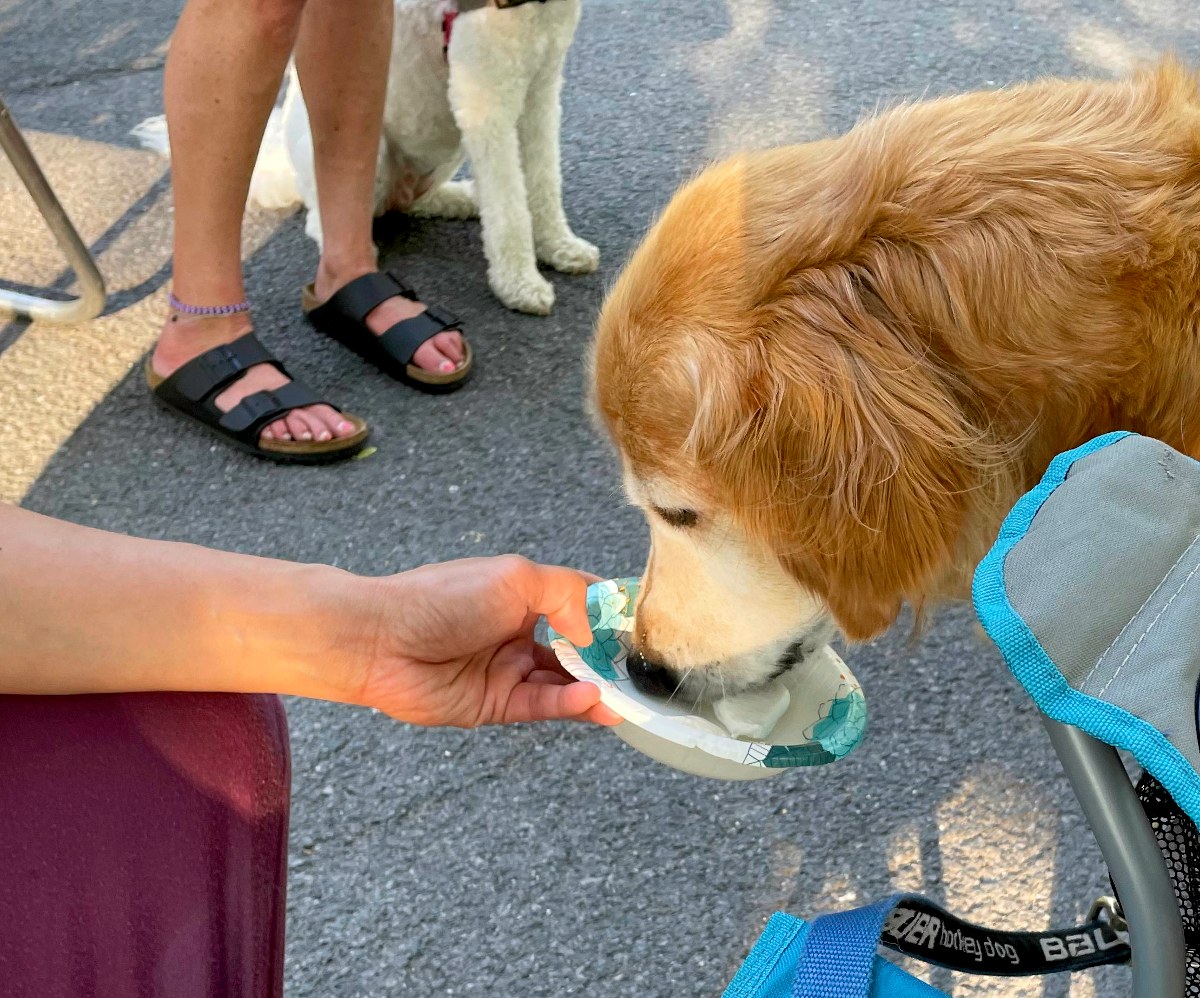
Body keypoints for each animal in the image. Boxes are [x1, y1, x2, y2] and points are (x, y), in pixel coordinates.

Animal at [135, 0, 595, 316]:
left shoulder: (541, 89)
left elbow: (543, 179)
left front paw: (558, 246)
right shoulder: (484, 102)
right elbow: (509, 206)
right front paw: (519, 284)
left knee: (413, 202)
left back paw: (462, 198)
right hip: (364, 150)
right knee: (327, 217)